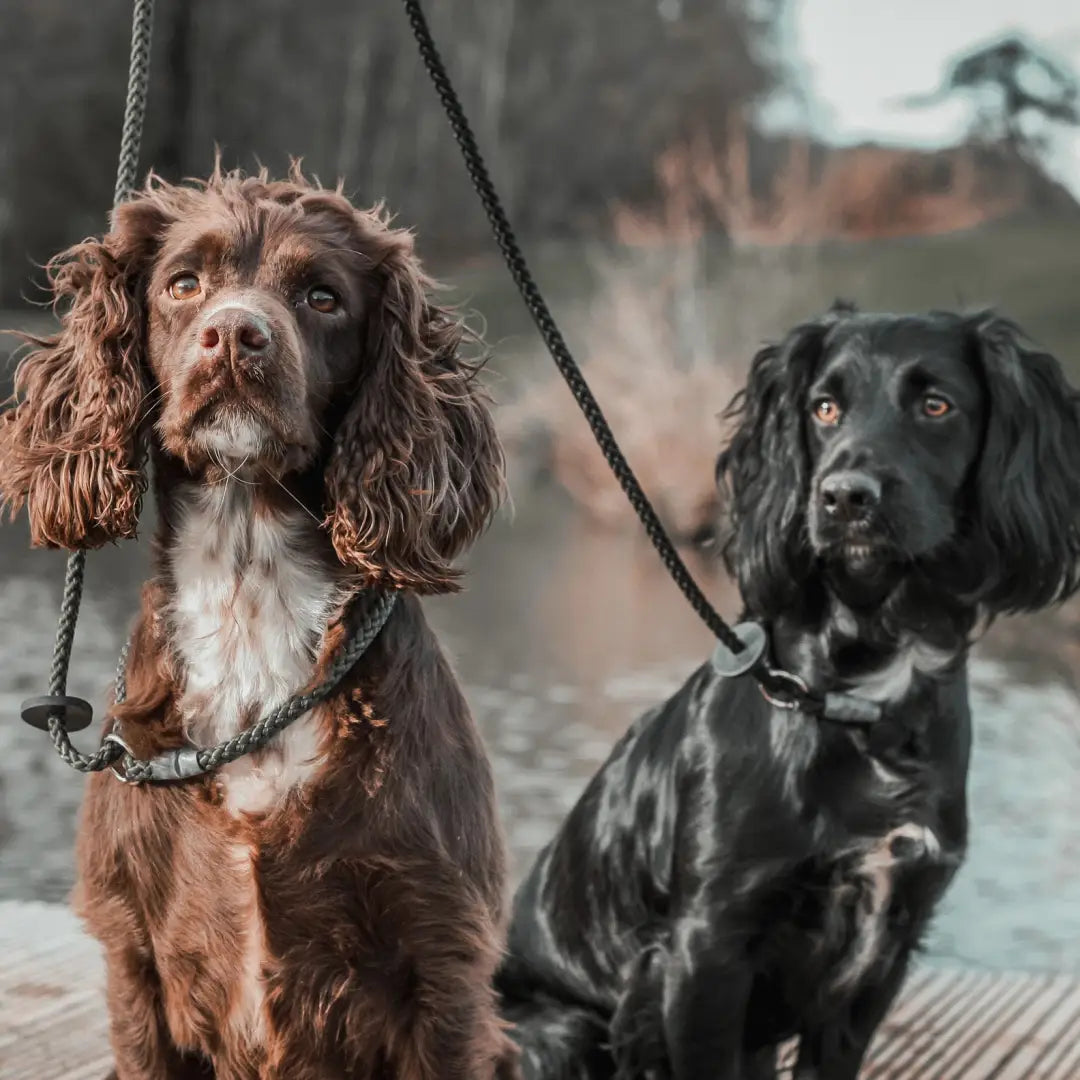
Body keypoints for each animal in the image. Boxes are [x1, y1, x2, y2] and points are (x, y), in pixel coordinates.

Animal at [1, 166, 518, 1080]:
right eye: (183, 284)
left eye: (323, 296)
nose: (236, 335)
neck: (250, 591)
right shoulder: (133, 957)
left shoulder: (446, 959)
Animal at [494, 306, 1080, 1080]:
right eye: (823, 408)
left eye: (936, 405)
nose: (843, 497)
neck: (861, 699)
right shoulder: (705, 948)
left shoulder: (884, 950)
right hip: (558, 1032)